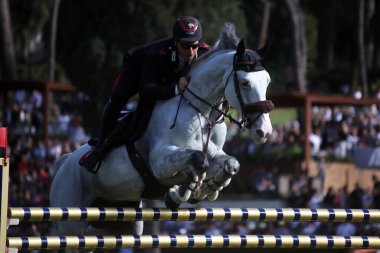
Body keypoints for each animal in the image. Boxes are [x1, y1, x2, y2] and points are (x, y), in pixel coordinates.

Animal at [49, 23, 274, 245]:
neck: (201, 113)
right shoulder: (160, 161)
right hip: (72, 223)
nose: (264, 132)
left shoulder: (215, 153)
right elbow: (198, 160)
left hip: (120, 224)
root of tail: (64, 163)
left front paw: (205, 188)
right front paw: (182, 192)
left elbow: (230, 164)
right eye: (245, 83)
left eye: (268, 81)